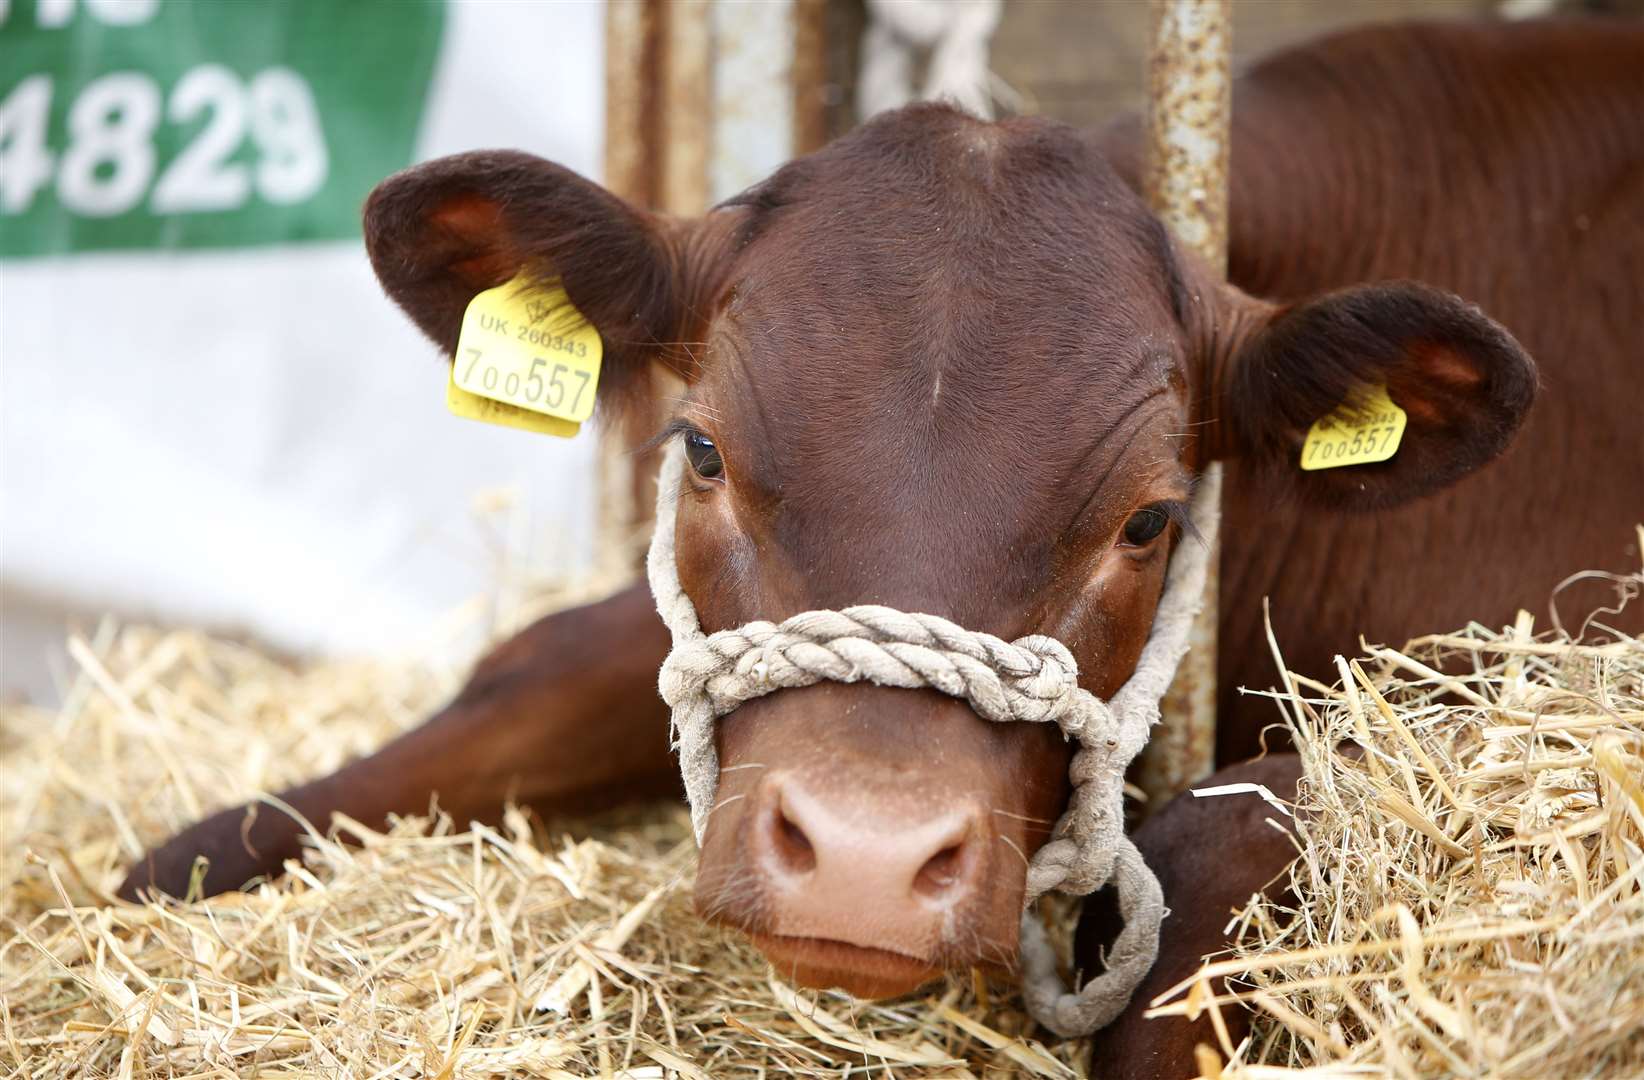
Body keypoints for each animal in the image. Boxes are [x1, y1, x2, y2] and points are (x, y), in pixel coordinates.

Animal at [121, 14, 1637, 1071]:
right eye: (702, 450)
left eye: (1150, 518)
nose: (863, 856)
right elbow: (536, 666)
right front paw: (164, 879)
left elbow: (1221, 820)